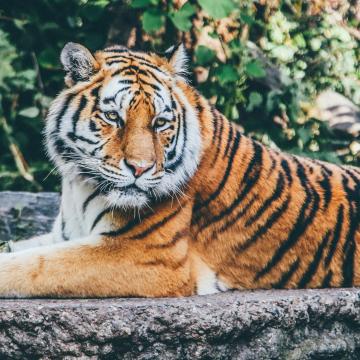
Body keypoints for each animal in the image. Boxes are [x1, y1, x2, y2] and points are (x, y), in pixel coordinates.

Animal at [0, 40, 360, 296]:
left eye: (160, 123)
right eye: (113, 117)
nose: (140, 169)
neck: (80, 185)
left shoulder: (143, 254)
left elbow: (34, 266)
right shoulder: (65, 234)